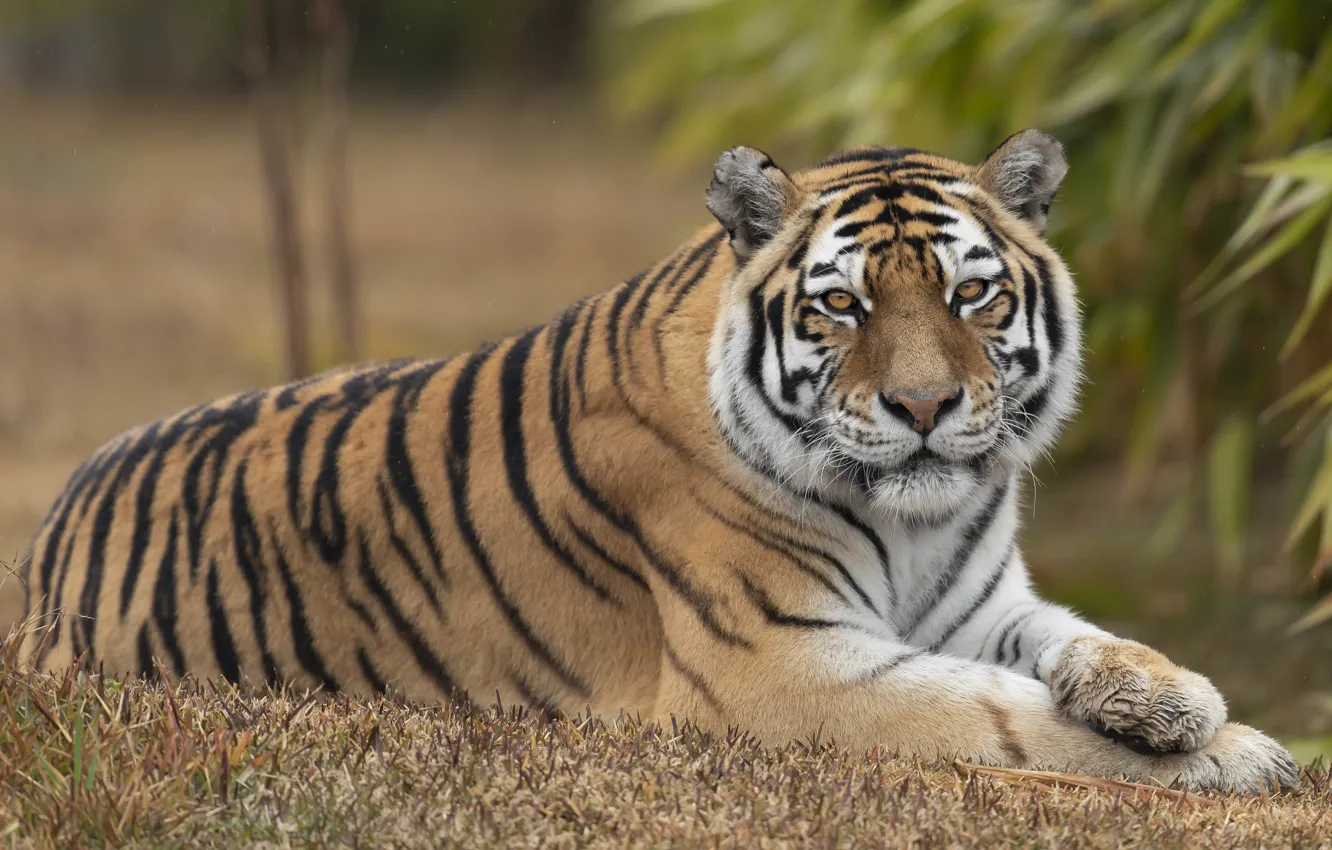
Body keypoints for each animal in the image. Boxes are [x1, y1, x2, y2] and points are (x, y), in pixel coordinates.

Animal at [14, 130, 1298, 793]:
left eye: (970, 294)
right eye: (841, 305)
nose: (926, 405)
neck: (918, 519)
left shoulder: (979, 604)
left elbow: (1076, 641)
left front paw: (1173, 698)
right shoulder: (786, 667)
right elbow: (1009, 716)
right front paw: (1248, 751)